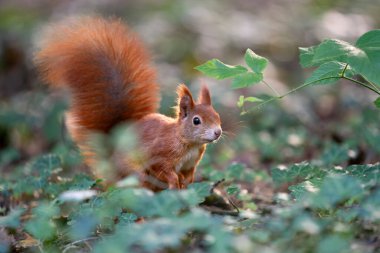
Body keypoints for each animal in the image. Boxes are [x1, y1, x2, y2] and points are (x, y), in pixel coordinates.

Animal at [35, 16, 223, 191]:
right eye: (196, 120)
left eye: (217, 116)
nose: (218, 132)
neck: (188, 143)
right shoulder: (158, 155)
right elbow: (163, 170)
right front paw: (174, 182)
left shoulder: (190, 164)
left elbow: (188, 175)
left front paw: (185, 183)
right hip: (134, 174)